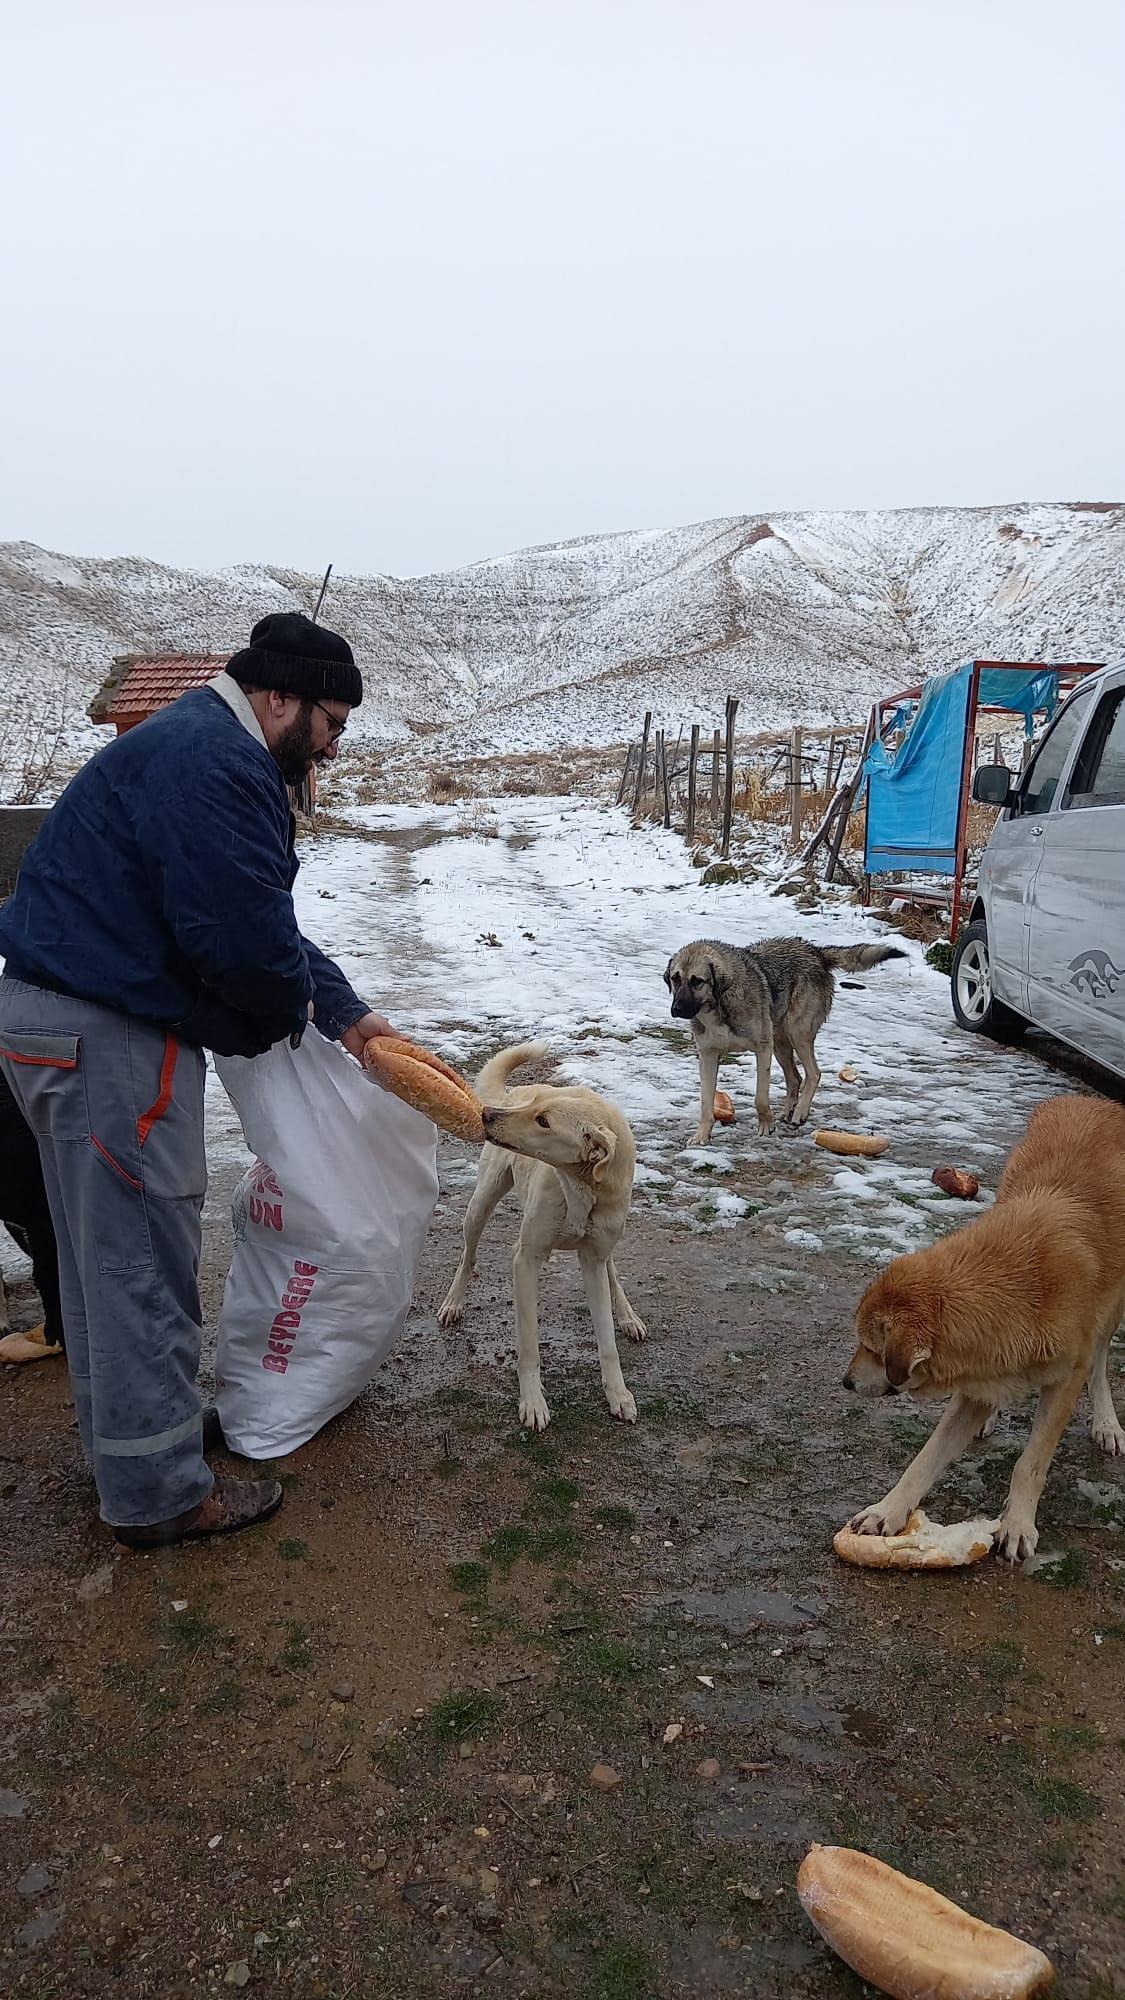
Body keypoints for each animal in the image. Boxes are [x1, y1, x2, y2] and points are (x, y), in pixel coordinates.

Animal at [438, 1040, 648, 1432]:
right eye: (536, 1110)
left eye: (544, 1121)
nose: (488, 1114)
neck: (581, 1191)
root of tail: (512, 1093)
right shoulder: (526, 1258)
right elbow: (529, 1345)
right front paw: (533, 1402)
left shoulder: (592, 1260)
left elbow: (607, 1342)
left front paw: (618, 1393)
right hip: (480, 1205)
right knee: (467, 1257)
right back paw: (453, 1302)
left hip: (608, 1244)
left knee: (613, 1271)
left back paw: (628, 1316)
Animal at [664, 936, 900, 1144]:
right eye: (675, 978)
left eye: (697, 981)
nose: (676, 1009)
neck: (719, 1004)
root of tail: (815, 951)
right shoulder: (708, 1057)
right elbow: (706, 1103)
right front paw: (702, 1136)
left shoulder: (762, 1049)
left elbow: (760, 1097)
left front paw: (766, 1126)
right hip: (780, 1042)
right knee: (795, 1078)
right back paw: (789, 1112)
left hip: (797, 1034)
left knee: (814, 1073)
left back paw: (800, 1113)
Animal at [840, 1096, 1120, 1560]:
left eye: (871, 1348)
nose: (845, 1382)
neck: (1017, 1288)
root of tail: (1091, 1100)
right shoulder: (977, 1375)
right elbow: (925, 1458)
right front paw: (888, 1510)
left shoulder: (1065, 1380)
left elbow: (1031, 1462)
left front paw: (1017, 1523)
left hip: (1115, 1308)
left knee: (1100, 1362)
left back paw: (1107, 1423)